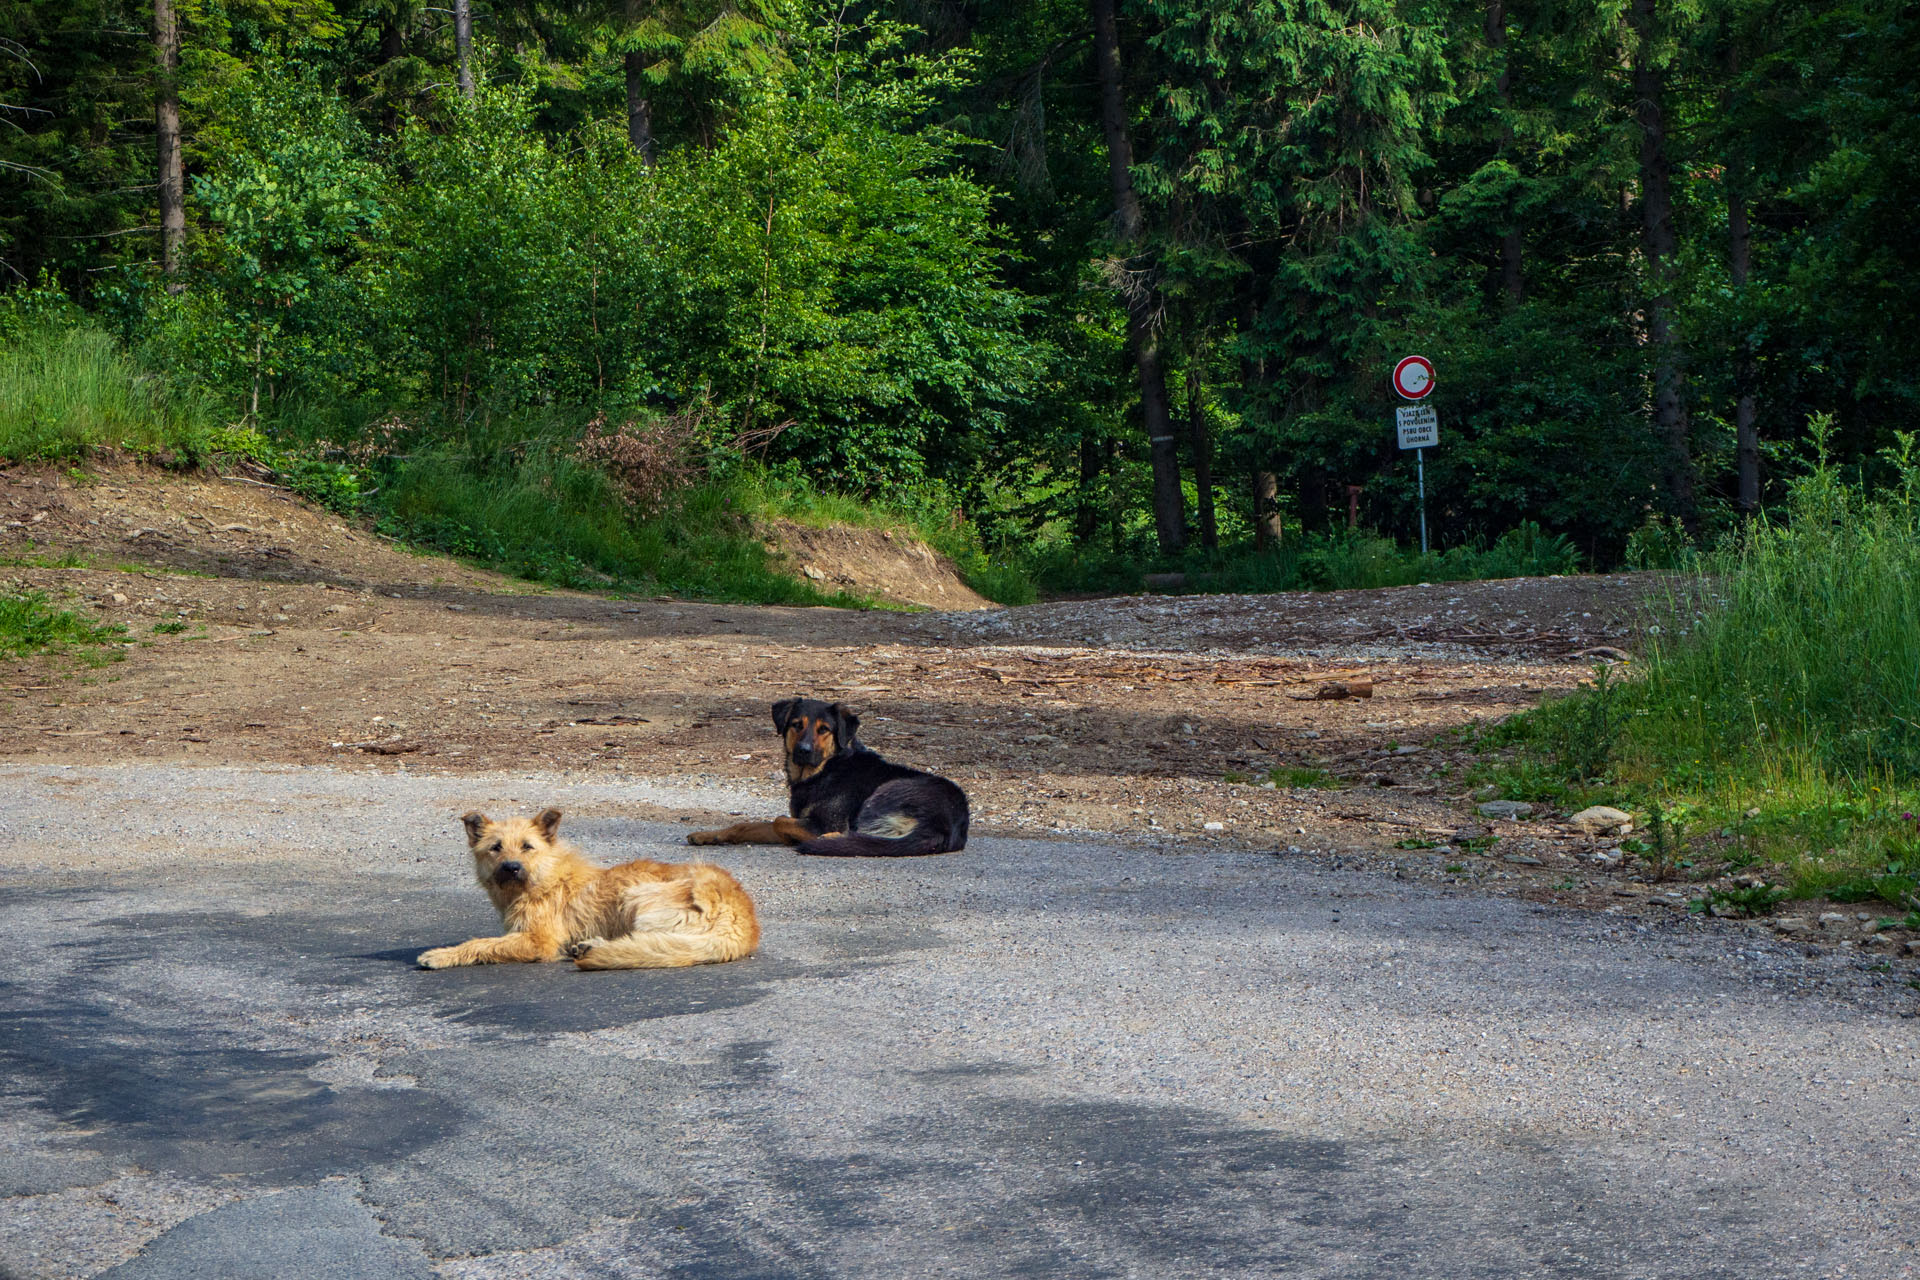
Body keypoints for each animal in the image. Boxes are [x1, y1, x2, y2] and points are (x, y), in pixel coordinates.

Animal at [418, 809, 756, 971]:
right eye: (495, 847)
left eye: (527, 846)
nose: (511, 867)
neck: (545, 876)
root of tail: (743, 917)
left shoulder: (538, 941)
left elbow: (482, 944)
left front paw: (442, 954)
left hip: (637, 897)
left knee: (651, 942)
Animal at [683, 702, 967, 859]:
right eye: (796, 724)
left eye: (824, 729)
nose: (803, 750)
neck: (825, 769)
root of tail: (944, 825)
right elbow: (746, 825)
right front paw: (709, 835)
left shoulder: (821, 822)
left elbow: (779, 821)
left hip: (885, 793)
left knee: (857, 836)